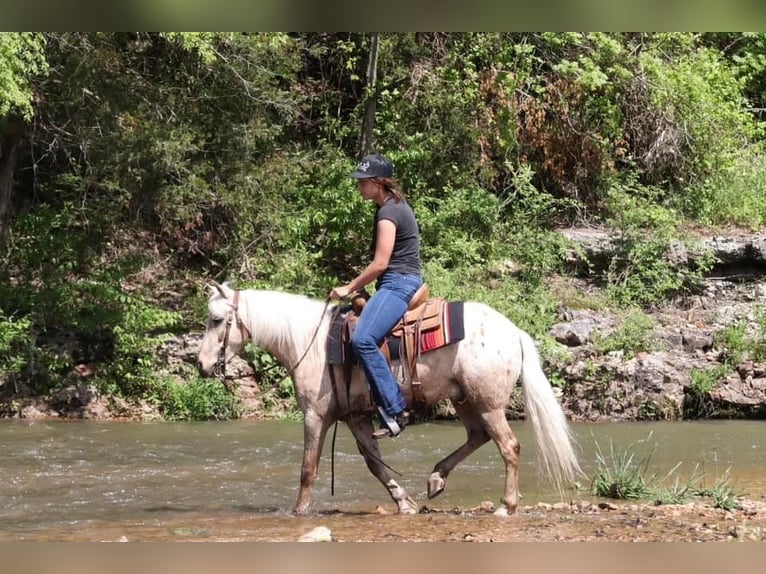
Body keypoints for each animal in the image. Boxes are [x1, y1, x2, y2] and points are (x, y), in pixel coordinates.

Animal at [198, 284, 584, 516]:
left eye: (217, 320)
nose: (201, 365)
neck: (311, 342)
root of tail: (515, 331)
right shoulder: (355, 416)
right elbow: (375, 464)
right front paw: (405, 502)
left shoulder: (314, 415)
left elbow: (308, 468)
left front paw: (299, 511)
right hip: (464, 400)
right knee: (478, 436)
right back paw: (436, 479)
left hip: (487, 403)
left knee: (509, 447)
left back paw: (506, 506)